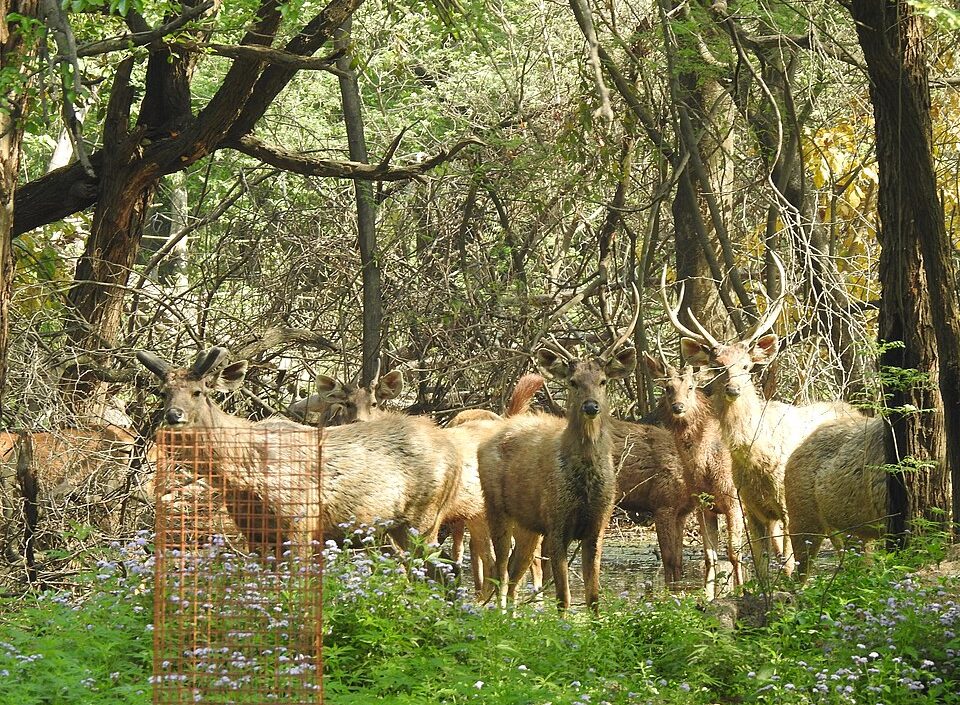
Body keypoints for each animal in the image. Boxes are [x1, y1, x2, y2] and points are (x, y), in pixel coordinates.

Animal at [136, 347, 463, 558]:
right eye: (163, 392)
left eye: (199, 391)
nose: (173, 415)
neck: (244, 478)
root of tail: (453, 450)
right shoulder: (253, 532)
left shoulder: (302, 520)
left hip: (426, 517)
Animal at [477, 301, 639, 614]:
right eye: (574, 382)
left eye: (603, 381)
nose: (591, 406)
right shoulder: (556, 522)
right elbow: (564, 597)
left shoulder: (598, 525)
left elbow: (593, 597)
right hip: (495, 507)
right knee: (500, 571)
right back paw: (499, 614)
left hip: (528, 524)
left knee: (515, 572)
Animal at [642, 354, 745, 598]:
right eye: (667, 387)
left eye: (690, 386)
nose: (678, 406)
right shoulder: (702, 505)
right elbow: (710, 557)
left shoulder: (733, 499)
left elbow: (734, 553)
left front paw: (742, 592)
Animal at [661, 253, 860, 579]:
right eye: (717, 365)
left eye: (746, 365)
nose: (733, 388)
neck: (759, 456)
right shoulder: (751, 508)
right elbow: (760, 565)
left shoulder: (785, 505)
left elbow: (788, 563)